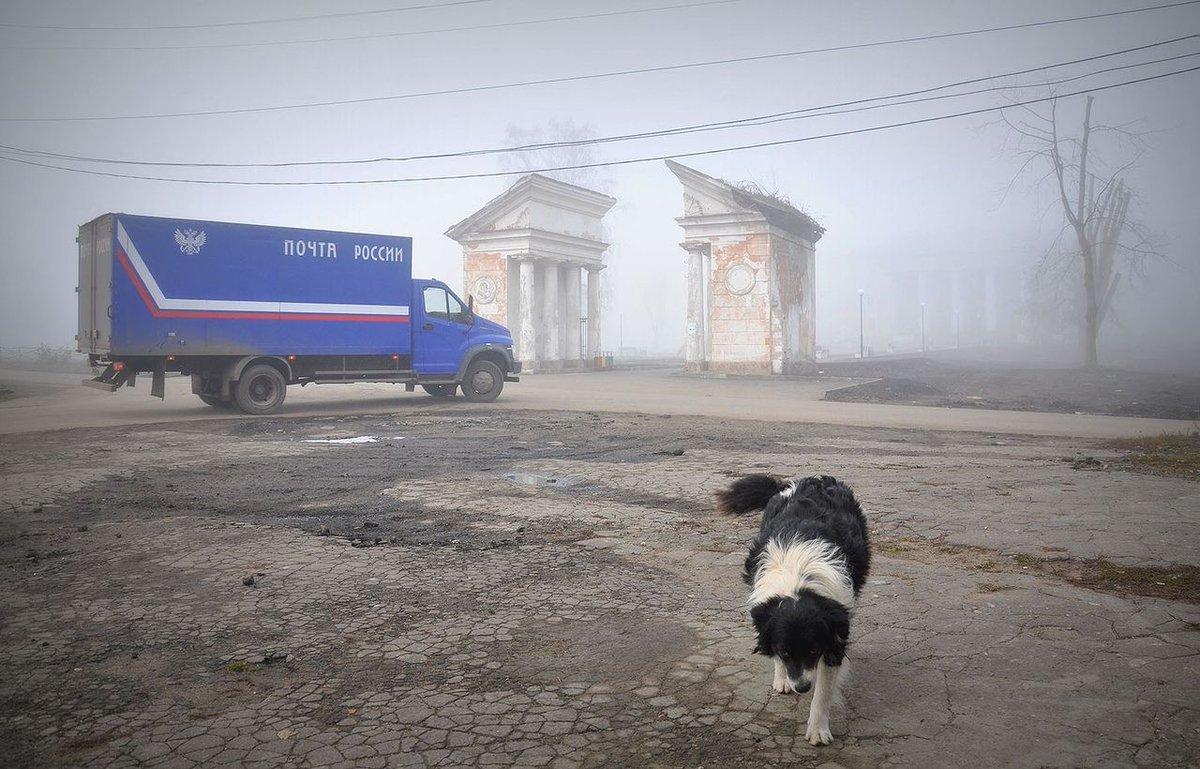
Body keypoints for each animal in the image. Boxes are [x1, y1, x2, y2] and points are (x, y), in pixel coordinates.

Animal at [710, 475, 873, 743]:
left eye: (813, 650)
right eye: (785, 652)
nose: (802, 687)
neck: (796, 579)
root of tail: (814, 479)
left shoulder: (834, 636)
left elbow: (823, 694)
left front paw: (818, 730)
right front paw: (782, 677)